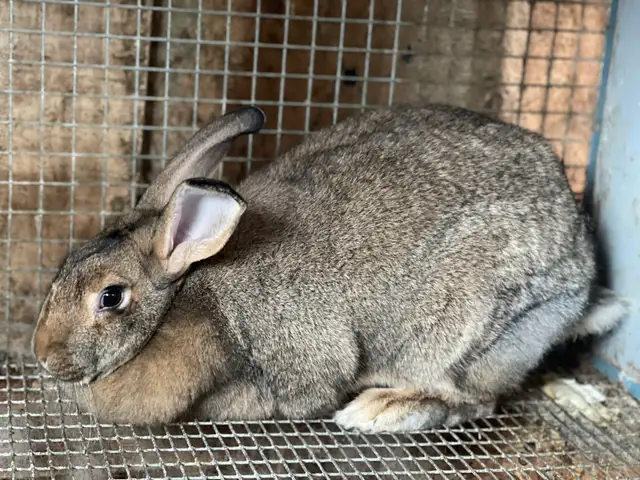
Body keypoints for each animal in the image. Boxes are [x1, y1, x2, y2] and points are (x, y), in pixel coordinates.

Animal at [31, 104, 628, 433]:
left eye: (111, 297)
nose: (41, 355)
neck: (185, 293)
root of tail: (581, 271)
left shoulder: (293, 357)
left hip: (465, 329)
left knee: (475, 398)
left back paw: (384, 410)